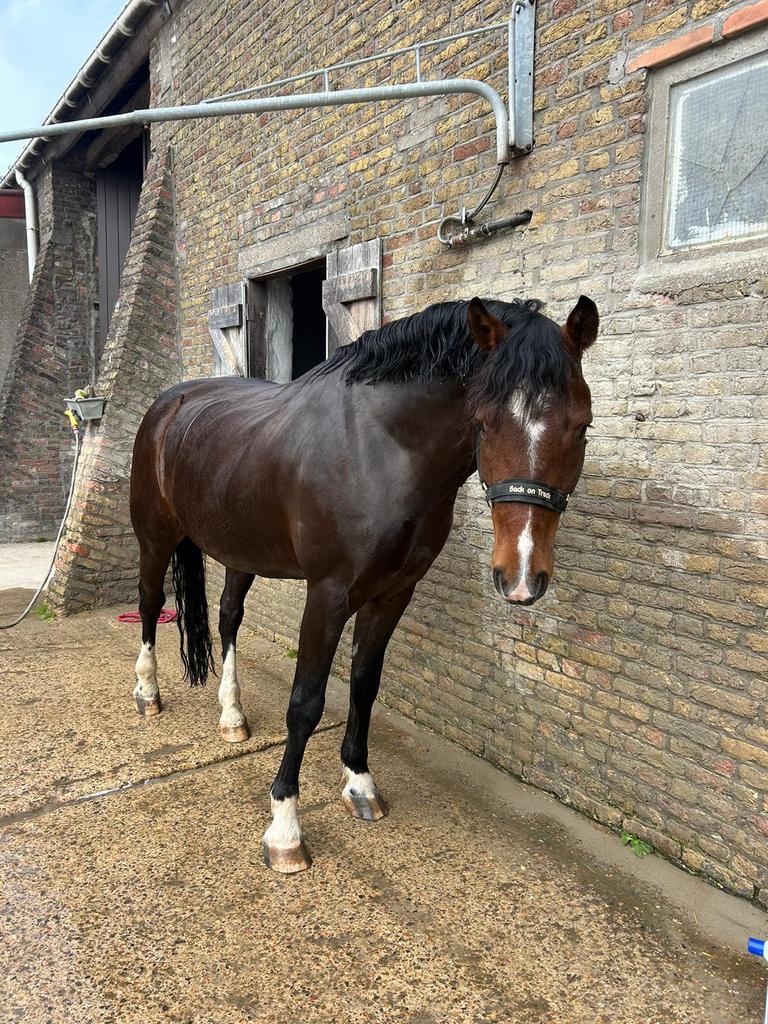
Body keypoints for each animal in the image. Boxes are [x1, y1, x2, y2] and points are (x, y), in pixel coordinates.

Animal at [129, 294, 598, 872]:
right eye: (484, 423)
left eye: (582, 426)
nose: (521, 578)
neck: (380, 452)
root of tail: (169, 403)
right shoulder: (327, 595)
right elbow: (305, 703)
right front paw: (284, 829)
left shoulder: (393, 594)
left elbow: (364, 684)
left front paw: (359, 784)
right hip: (154, 540)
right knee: (151, 604)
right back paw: (147, 692)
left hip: (242, 551)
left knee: (228, 617)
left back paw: (232, 715)